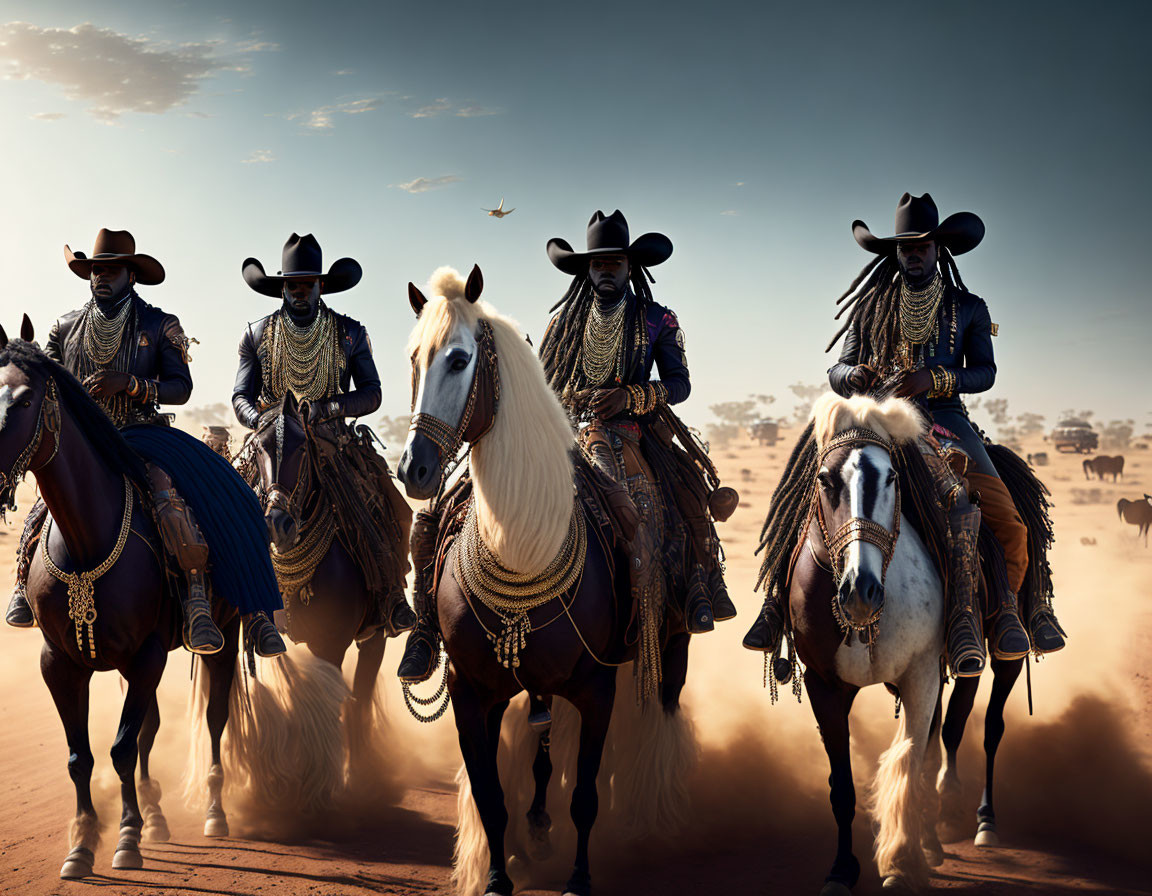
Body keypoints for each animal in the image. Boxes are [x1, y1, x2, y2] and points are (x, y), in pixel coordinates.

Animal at [0, 320, 239, 870]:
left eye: (25, 400)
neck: (87, 540)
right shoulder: (60, 661)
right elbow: (81, 755)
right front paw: (84, 842)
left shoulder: (147, 653)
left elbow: (122, 748)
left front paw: (126, 838)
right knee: (151, 726)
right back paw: (156, 818)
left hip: (225, 635)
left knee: (215, 718)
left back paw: (213, 813)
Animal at [396, 267, 691, 893]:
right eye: (414, 358)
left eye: (459, 359)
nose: (415, 469)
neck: (525, 547)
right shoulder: (470, 691)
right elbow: (490, 796)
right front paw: (497, 877)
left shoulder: (598, 690)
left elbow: (584, 795)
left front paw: (578, 878)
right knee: (542, 733)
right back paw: (535, 825)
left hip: (670, 647)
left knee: (659, 712)